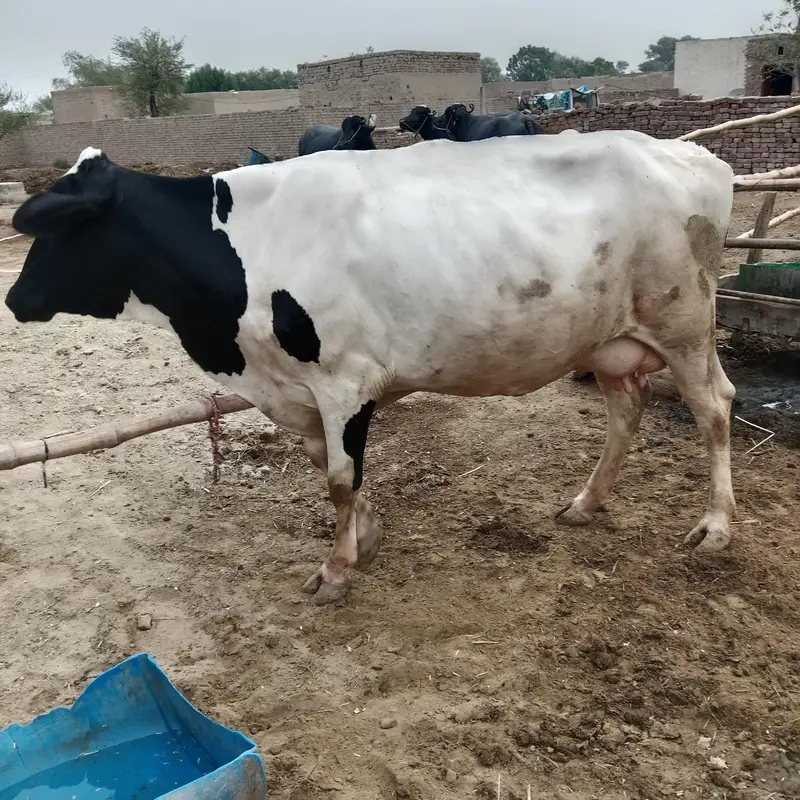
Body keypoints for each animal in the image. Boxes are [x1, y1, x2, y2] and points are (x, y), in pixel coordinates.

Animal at [6, 133, 736, 606]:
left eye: (63, 228)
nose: (14, 299)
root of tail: (692, 154)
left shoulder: (343, 381)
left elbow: (337, 477)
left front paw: (336, 569)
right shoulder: (296, 390)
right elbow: (324, 466)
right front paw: (368, 533)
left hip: (685, 324)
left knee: (715, 408)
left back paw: (717, 526)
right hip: (611, 341)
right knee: (625, 412)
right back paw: (587, 503)